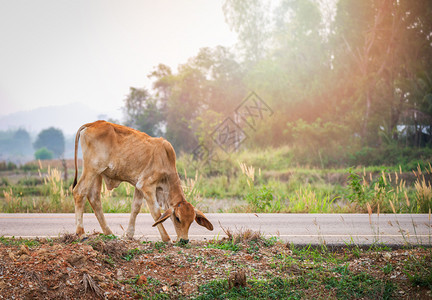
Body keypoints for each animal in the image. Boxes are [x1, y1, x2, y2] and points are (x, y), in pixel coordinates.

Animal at [71, 119, 213, 241]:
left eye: (191, 220)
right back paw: (81, 233)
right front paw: (166, 238)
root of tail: (92, 124)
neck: (165, 160)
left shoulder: (138, 186)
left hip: (98, 174)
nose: (184, 240)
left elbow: (135, 208)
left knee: (94, 198)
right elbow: (156, 212)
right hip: (92, 169)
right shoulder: (147, 186)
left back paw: (109, 233)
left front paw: (129, 234)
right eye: (178, 218)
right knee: (79, 192)